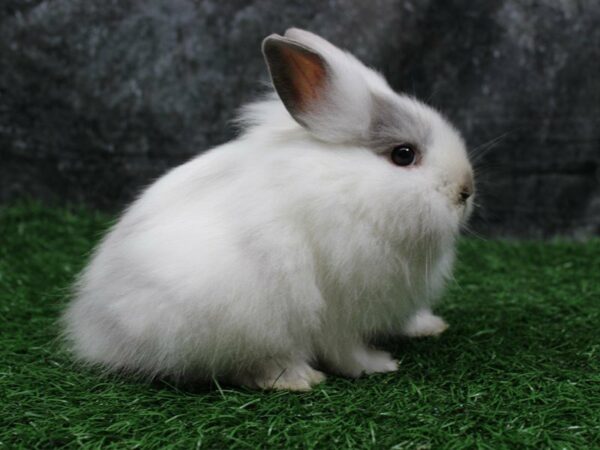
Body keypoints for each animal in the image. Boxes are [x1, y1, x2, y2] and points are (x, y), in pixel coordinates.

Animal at [61, 27, 474, 390]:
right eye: (403, 155)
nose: (465, 191)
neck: (346, 184)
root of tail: (95, 329)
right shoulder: (338, 304)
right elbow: (344, 349)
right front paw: (378, 364)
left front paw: (429, 325)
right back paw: (296, 378)